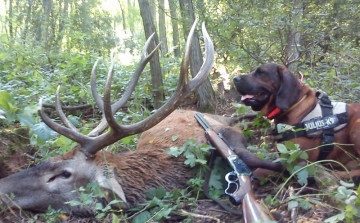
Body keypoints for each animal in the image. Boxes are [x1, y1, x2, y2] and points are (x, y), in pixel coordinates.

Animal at [232, 64, 360, 181]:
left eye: (261, 72)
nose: (235, 79)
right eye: (252, 70)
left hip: (355, 129)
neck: (293, 106)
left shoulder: (295, 161)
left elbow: (262, 170)